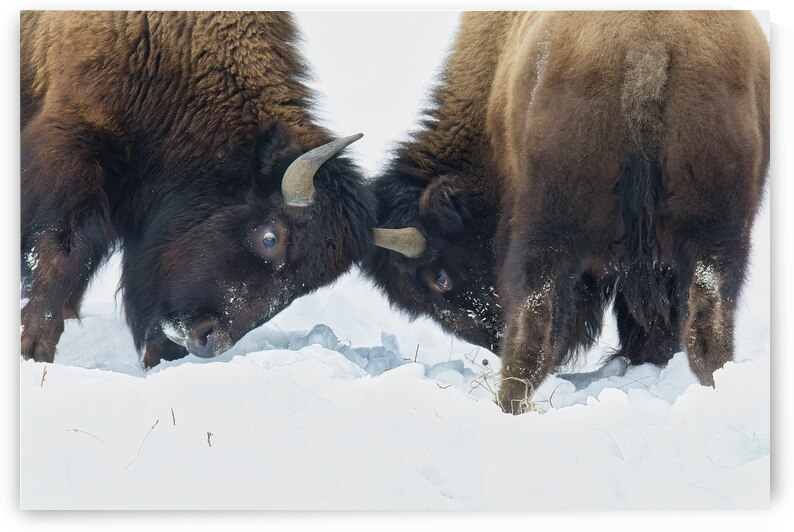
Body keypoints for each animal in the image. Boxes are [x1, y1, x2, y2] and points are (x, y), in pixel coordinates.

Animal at [21, 12, 376, 366]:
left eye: (308, 284)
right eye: (269, 239)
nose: (208, 340)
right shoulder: (74, 151)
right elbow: (65, 251)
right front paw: (34, 348)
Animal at [363, 12, 769, 413]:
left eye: (440, 279)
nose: (493, 337)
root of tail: (648, 49)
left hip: (547, 233)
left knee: (535, 327)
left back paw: (509, 402)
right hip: (716, 235)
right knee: (706, 331)